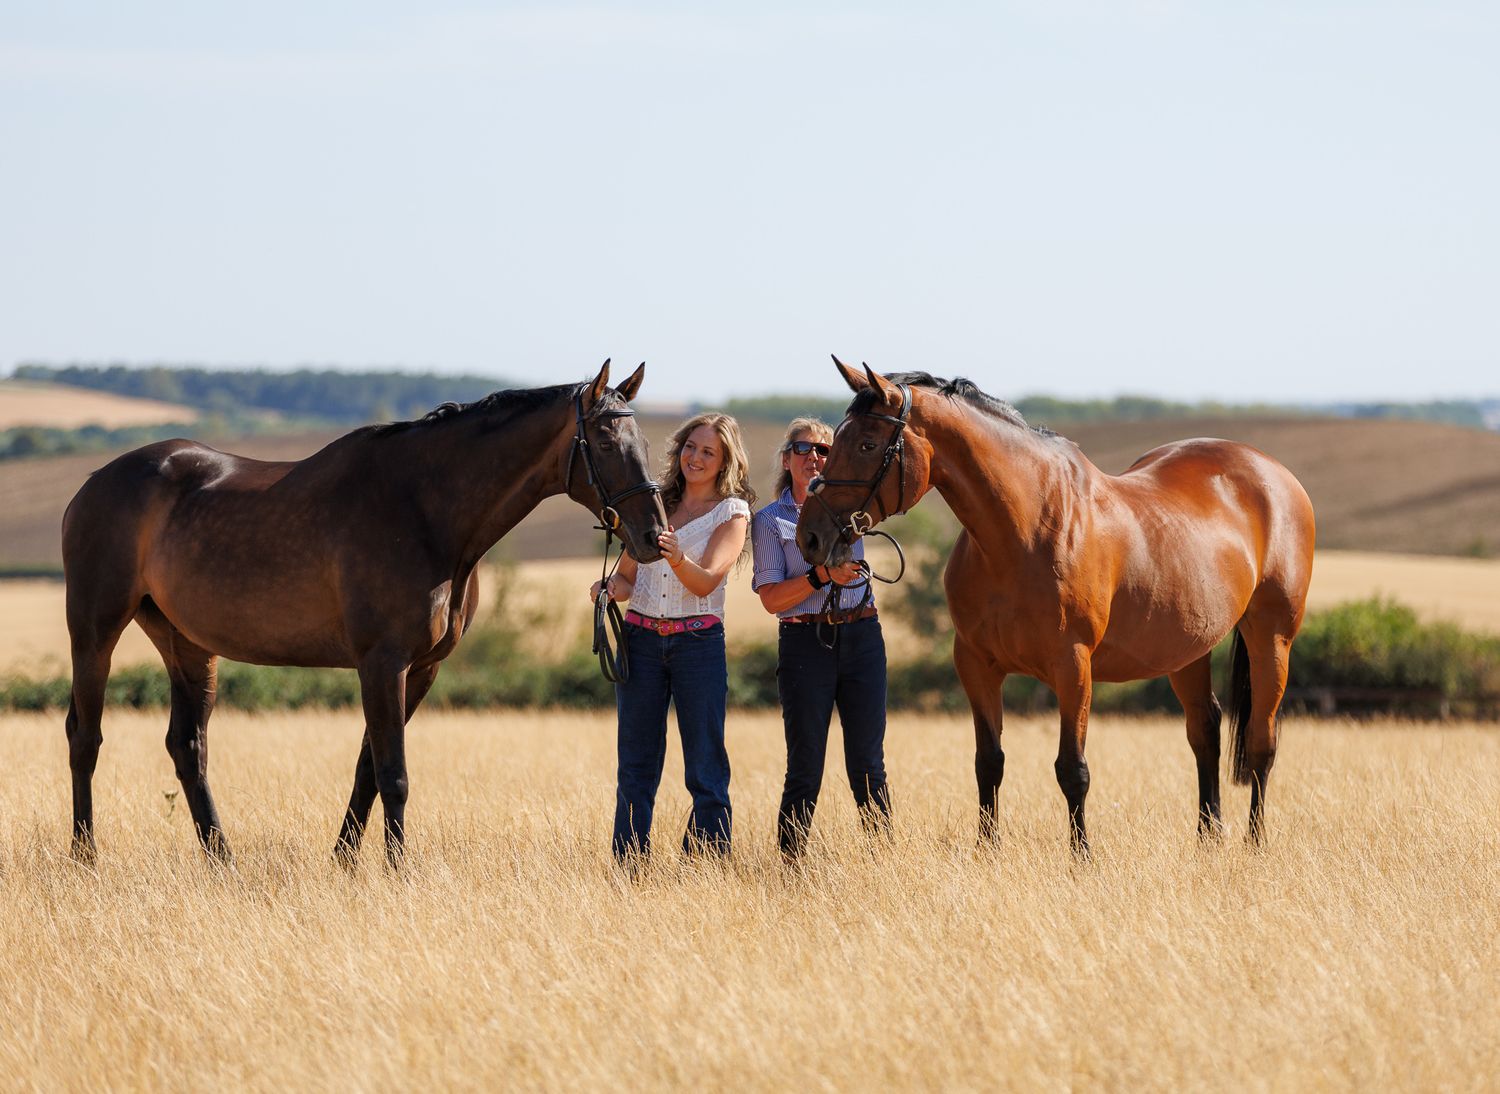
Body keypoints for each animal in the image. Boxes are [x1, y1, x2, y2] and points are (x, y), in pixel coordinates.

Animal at [60, 360, 667, 866]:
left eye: (642, 439)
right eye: (606, 440)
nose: (653, 537)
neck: (424, 510)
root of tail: (91, 485)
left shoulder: (421, 669)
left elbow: (369, 768)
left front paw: (345, 863)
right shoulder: (382, 663)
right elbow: (394, 773)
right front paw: (396, 871)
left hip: (186, 644)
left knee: (187, 746)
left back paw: (221, 860)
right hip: (94, 633)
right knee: (84, 737)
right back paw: (85, 857)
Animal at [797, 359, 1315, 854]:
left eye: (868, 444)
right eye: (833, 442)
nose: (811, 537)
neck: (1022, 531)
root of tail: (1271, 473)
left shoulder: (1073, 666)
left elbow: (1072, 769)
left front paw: (1081, 857)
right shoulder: (976, 664)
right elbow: (988, 762)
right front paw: (987, 851)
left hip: (1271, 637)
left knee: (1261, 742)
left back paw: (1253, 843)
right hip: (1187, 648)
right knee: (1205, 730)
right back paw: (1208, 839)